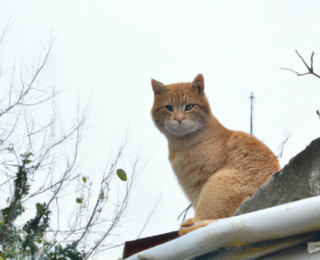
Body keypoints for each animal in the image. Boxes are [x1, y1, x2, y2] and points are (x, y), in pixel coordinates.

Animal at [151, 73, 278, 236]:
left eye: (189, 107)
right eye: (168, 108)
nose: (179, 119)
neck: (181, 145)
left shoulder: (200, 185)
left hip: (216, 182)